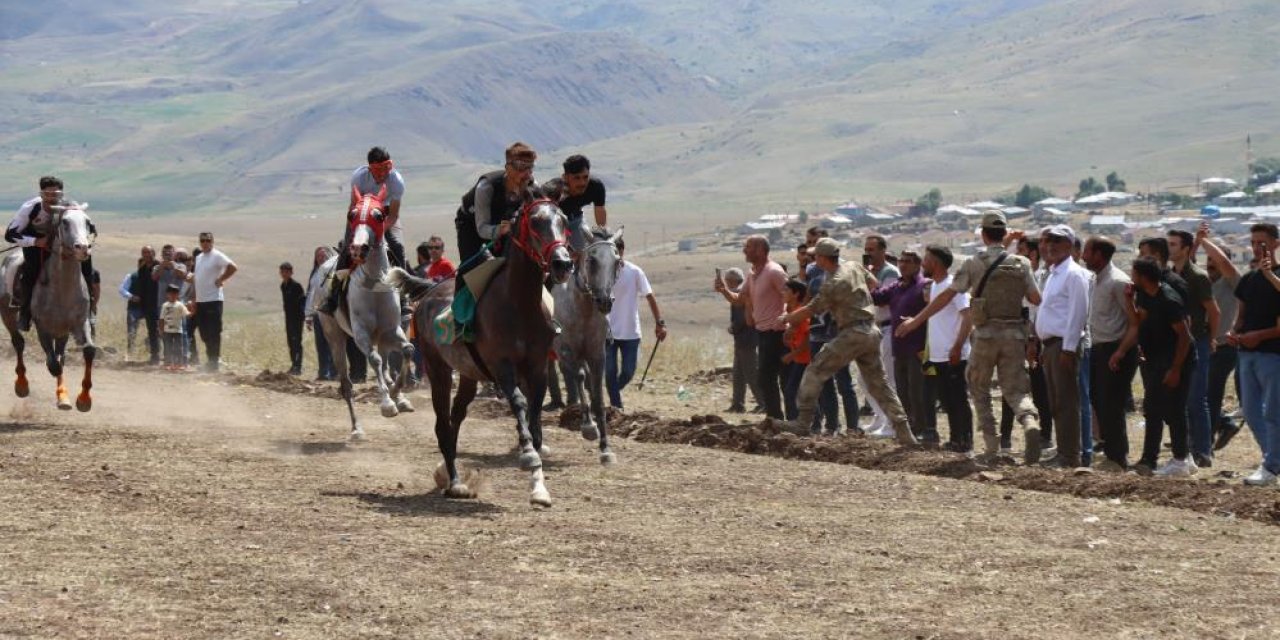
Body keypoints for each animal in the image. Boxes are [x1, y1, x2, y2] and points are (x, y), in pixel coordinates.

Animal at [312, 183, 412, 437]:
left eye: (379, 215)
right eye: (352, 214)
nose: (358, 247)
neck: (374, 283)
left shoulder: (392, 330)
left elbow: (407, 350)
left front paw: (397, 395)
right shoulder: (361, 334)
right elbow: (374, 360)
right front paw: (387, 405)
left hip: (381, 337)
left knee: (387, 361)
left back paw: (399, 395)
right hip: (334, 337)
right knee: (347, 384)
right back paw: (356, 428)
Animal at [381, 198, 573, 504]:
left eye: (563, 220)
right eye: (535, 222)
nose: (562, 263)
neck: (519, 305)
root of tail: (429, 291)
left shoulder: (538, 368)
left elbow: (535, 421)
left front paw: (539, 488)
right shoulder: (502, 366)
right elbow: (519, 404)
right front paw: (528, 455)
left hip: (469, 373)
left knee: (457, 415)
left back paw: (449, 473)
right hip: (437, 368)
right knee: (442, 424)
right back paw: (455, 482)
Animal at [550, 226, 624, 465]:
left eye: (617, 261)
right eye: (592, 260)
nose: (605, 301)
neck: (582, 308)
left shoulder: (597, 355)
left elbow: (598, 396)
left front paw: (606, 449)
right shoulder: (566, 352)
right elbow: (580, 377)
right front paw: (589, 428)